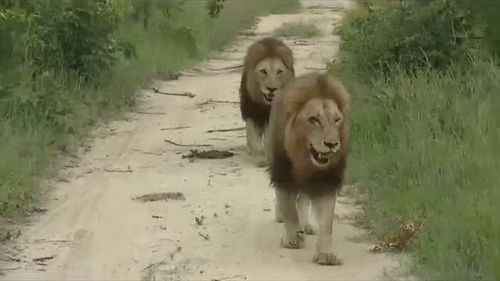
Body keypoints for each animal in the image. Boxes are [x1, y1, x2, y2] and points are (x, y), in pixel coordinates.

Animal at [240, 36, 294, 165]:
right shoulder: (252, 113)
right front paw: (259, 158)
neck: (264, 105)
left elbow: (270, 138)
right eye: (263, 71)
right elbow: (253, 138)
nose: (271, 89)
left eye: (279, 72)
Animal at [264, 72, 350, 264]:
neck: (305, 162)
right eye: (314, 120)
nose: (332, 144)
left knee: (302, 199)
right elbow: (289, 210)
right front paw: (292, 239)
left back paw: (306, 225)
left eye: (337, 120)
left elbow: (326, 220)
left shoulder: (326, 181)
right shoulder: (284, 176)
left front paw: (325, 254)